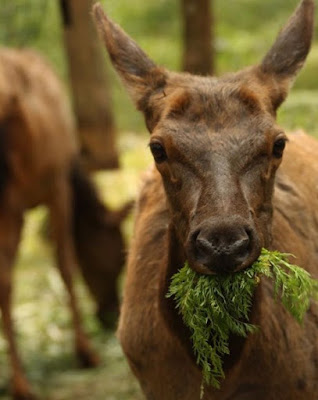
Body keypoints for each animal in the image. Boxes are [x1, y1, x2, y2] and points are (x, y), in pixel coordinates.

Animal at [0, 48, 130, 398]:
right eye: (117, 258)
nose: (109, 312)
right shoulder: (56, 187)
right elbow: (65, 265)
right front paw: (85, 352)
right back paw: (22, 383)